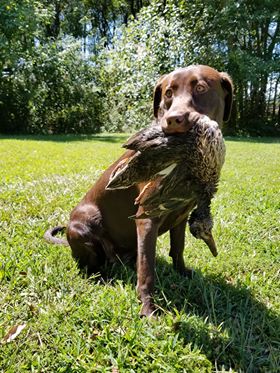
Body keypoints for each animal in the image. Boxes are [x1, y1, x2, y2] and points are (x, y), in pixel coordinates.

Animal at [45, 65, 234, 316]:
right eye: (168, 93)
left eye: (201, 88)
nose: (172, 120)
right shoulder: (146, 218)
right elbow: (147, 269)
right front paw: (148, 307)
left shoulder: (181, 216)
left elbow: (178, 249)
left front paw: (182, 273)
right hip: (82, 226)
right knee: (90, 266)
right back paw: (102, 278)